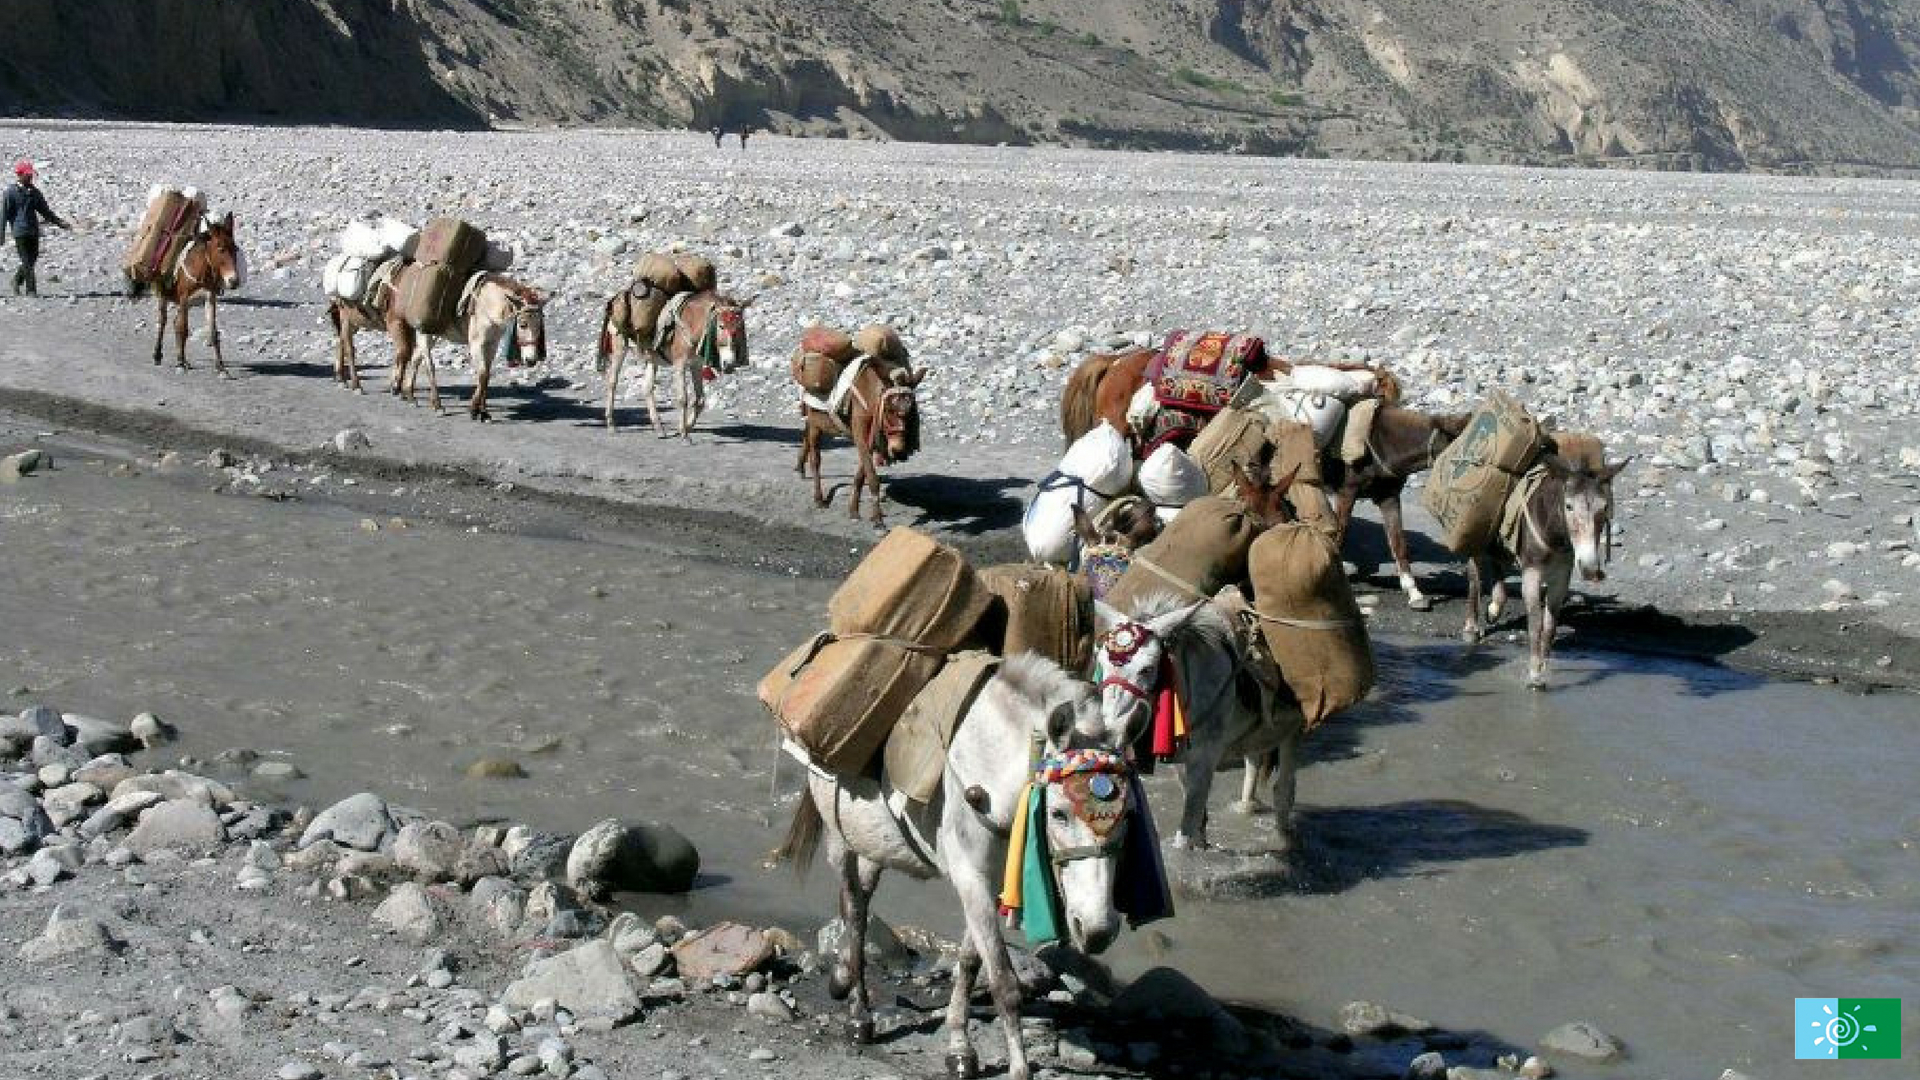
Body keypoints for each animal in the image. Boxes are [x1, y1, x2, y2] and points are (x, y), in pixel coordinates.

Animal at [134, 212, 243, 376]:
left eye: (235, 248)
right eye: (220, 248)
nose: (234, 281)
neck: (203, 268)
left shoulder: (210, 297)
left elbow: (213, 332)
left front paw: (221, 367)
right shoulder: (184, 297)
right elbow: (183, 329)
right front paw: (179, 364)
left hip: (189, 302)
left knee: (175, 322)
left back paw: (182, 359)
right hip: (164, 294)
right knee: (164, 321)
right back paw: (159, 355)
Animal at [599, 290, 748, 438]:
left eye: (740, 326)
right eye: (721, 326)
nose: (729, 364)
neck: (694, 323)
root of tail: (617, 296)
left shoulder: (696, 364)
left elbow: (700, 399)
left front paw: (685, 427)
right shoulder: (679, 364)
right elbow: (683, 398)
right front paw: (684, 434)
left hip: (651, 358)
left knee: (647, 388)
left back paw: (659, 428)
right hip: (620, 347)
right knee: (612, 382)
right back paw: (611, 425)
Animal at [794, 359, 929, 522]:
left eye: (911, 412)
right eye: (888, 409)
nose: (899, 452)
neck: (871, 397)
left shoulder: (869, 441)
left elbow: (860, 475)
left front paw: (853, 510)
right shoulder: (860, 436)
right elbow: (872, 477)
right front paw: (877, 518)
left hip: (816, 424)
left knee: (806, 439)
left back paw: (800, 467)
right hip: (815, 425)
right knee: (815, 460)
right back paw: (819, 498)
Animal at [1328, 403, 1474, 607]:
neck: (1381, 444)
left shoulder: (1389, 497)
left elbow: (1398, 542)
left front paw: (1414, 593)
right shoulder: (1346, 493)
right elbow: (1339, 536)